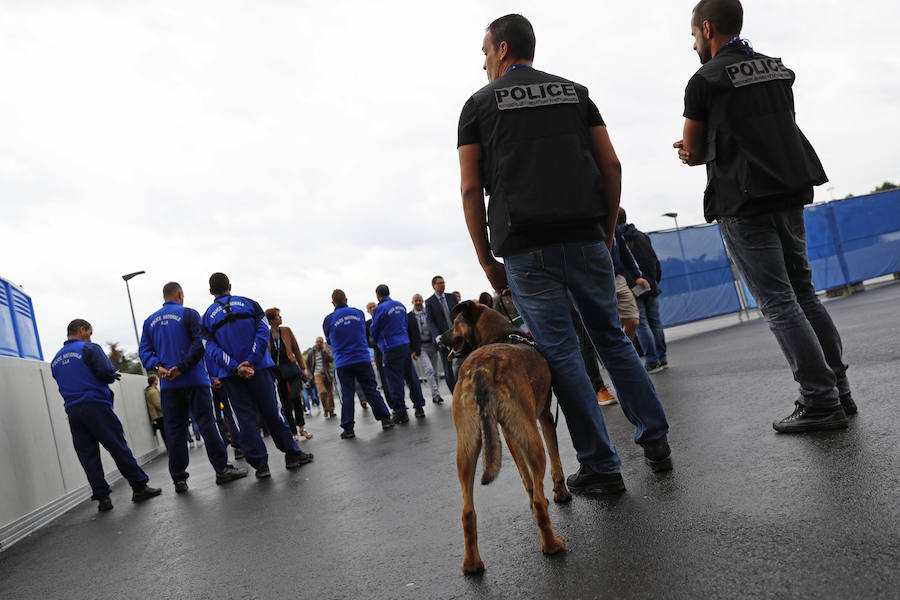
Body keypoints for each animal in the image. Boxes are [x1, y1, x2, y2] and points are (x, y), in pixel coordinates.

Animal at [442, 298, 568, 576]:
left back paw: (472, 564)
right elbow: (555, 464)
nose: (437, 339)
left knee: (467, 512)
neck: (501, 333)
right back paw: (552, 545)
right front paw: (561, 494)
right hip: (532, 440)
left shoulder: (509, 434)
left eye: (454, 323)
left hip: (466, 448)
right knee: (541, 500)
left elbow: (526, 478)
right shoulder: (544, 417)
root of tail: (481, 369)